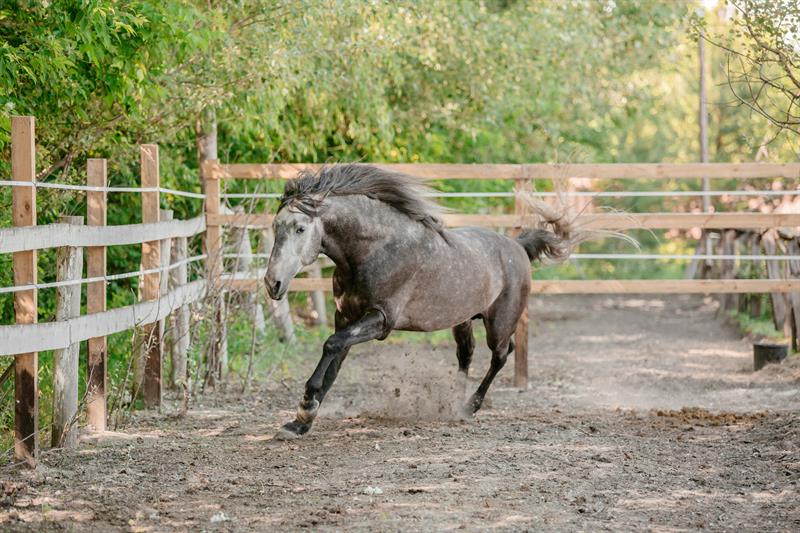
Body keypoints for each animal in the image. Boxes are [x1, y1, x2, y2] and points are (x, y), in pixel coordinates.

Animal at [268, 164, 576, 438]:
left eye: (300, 228)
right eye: (275, 226)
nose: (273, 284)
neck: (374, 249)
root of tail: (519, 246)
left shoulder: (381, 320)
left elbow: (331, 345)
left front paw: (307, 405)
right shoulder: (345, 316)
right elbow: (334, 361)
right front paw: (300, 423)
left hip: (500, 322)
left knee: (501, 355)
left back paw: (469, 407)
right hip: (463, 319)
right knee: (467, 353)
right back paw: (451, 405)